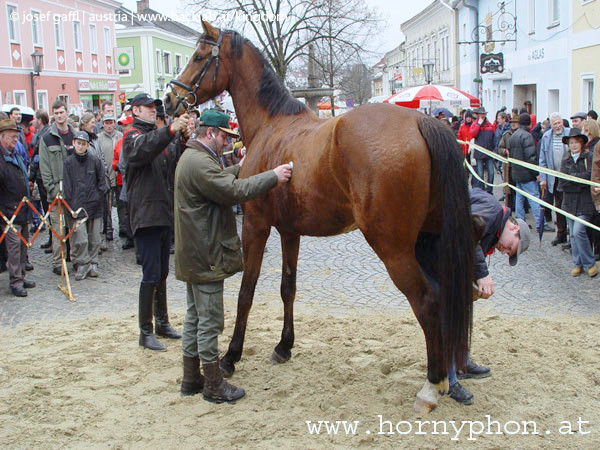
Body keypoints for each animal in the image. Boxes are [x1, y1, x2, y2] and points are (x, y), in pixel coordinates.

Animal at [164, 22, 474, 414]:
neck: (271, 126)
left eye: (199, 56)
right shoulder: (289, 232)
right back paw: (447, 377)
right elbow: (288, 288)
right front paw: (284, 346)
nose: (169, 99)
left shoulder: (256, 227)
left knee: (428, 299)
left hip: (394, 248)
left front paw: (231, 357)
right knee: (446, 295)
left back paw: (431, 385)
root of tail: (421, 122)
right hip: (429, 240)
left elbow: (247, 292)